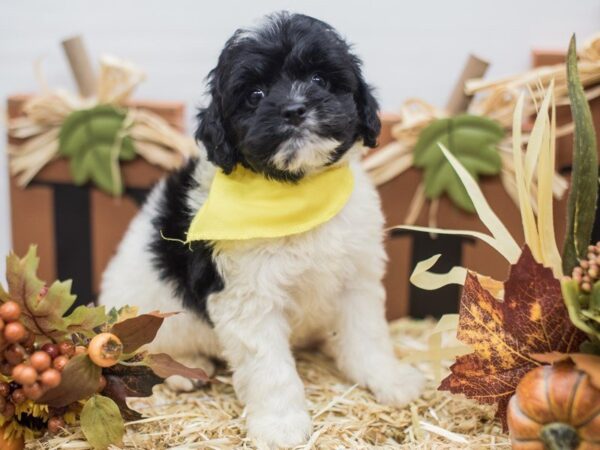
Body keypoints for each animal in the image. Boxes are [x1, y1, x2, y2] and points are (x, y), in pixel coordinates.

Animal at [99, 12, 426, 448]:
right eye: (254, 95)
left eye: (320, 79)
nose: (294, 109)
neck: (298, 193)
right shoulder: (248, 297)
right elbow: (270, 368)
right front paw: (281, 425)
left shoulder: (356, 277)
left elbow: (367, 334)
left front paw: (387, 379)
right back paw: (184, 371)